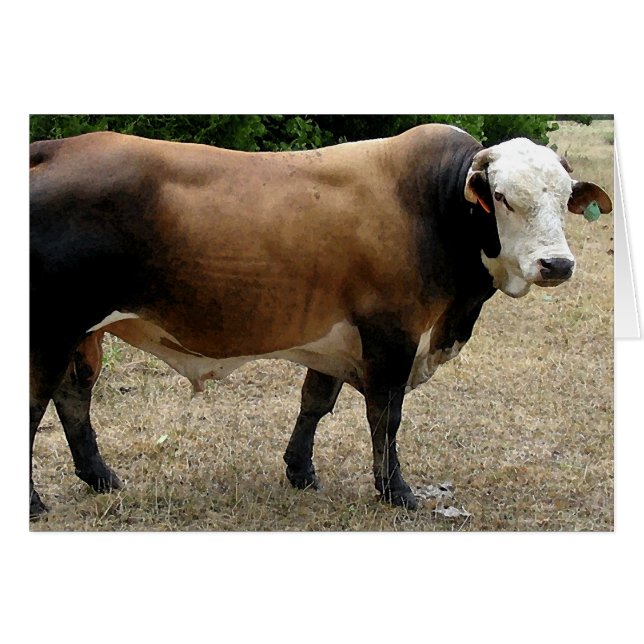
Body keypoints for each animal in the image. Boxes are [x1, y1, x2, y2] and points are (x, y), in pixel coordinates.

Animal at [29, 124, 612, 518]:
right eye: (502, 197)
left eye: (565, 199)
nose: (556, 265)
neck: (433, 204)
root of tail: (57, 147)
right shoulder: (391, 336)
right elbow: (386, 417)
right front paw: (396, 490)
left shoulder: (338, 335)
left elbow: (315, 402)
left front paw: (300, 471)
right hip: (52, 329)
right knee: (38, 405)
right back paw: (35, 501)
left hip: (81, 334)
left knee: (73, 399)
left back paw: (100, 477)